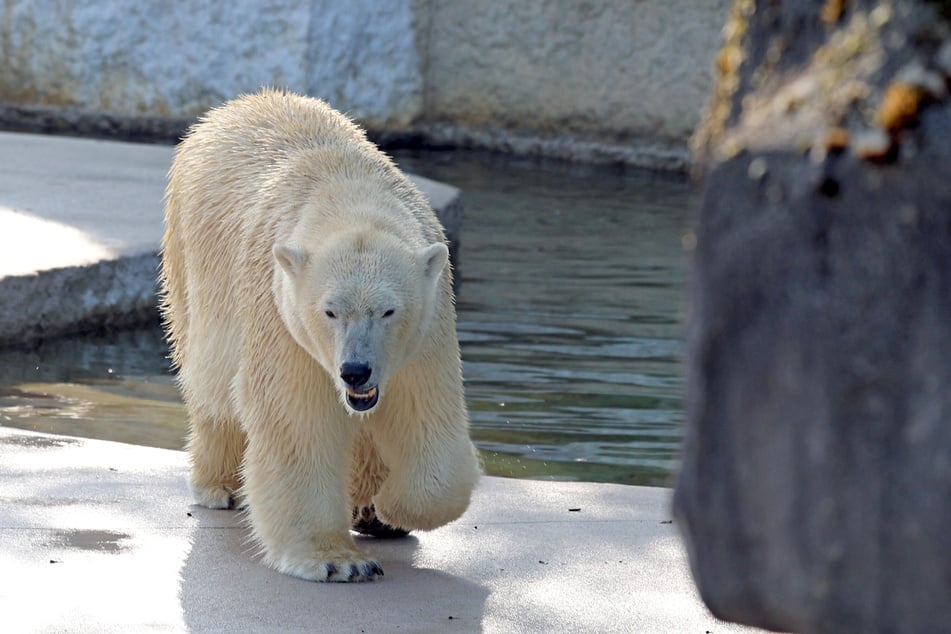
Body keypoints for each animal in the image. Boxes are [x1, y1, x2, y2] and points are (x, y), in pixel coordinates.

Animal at [160, 89, 484, 584]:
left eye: (388, 310)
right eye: (329, 311)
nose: (355, 371)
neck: (348, 188)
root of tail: (237, 104)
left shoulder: (428, 327)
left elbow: (425, 413)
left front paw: (391, 507)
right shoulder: (281, 313)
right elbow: (296, 418)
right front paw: (338, 560)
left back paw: (369, 509)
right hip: (190, 257)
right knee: (211, 385)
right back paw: (220, 485)